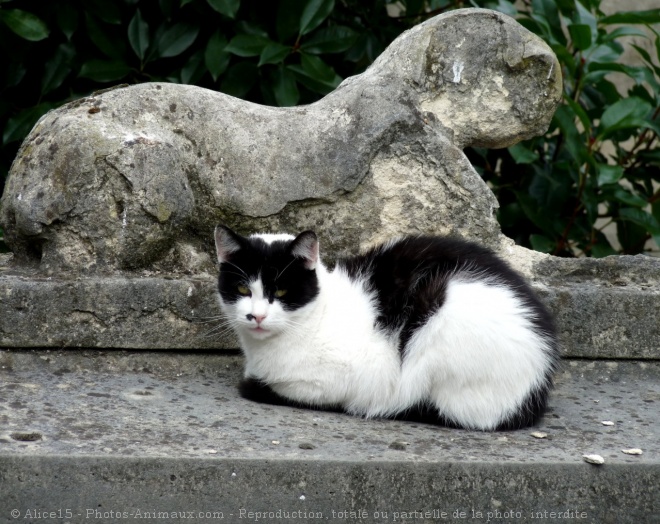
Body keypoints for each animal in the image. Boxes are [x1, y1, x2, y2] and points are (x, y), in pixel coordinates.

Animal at [214, 227, 560, 432]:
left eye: (282, 291)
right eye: (243, 288)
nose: (256, 316)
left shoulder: (345, 377)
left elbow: (290, 389)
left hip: (440, 321)